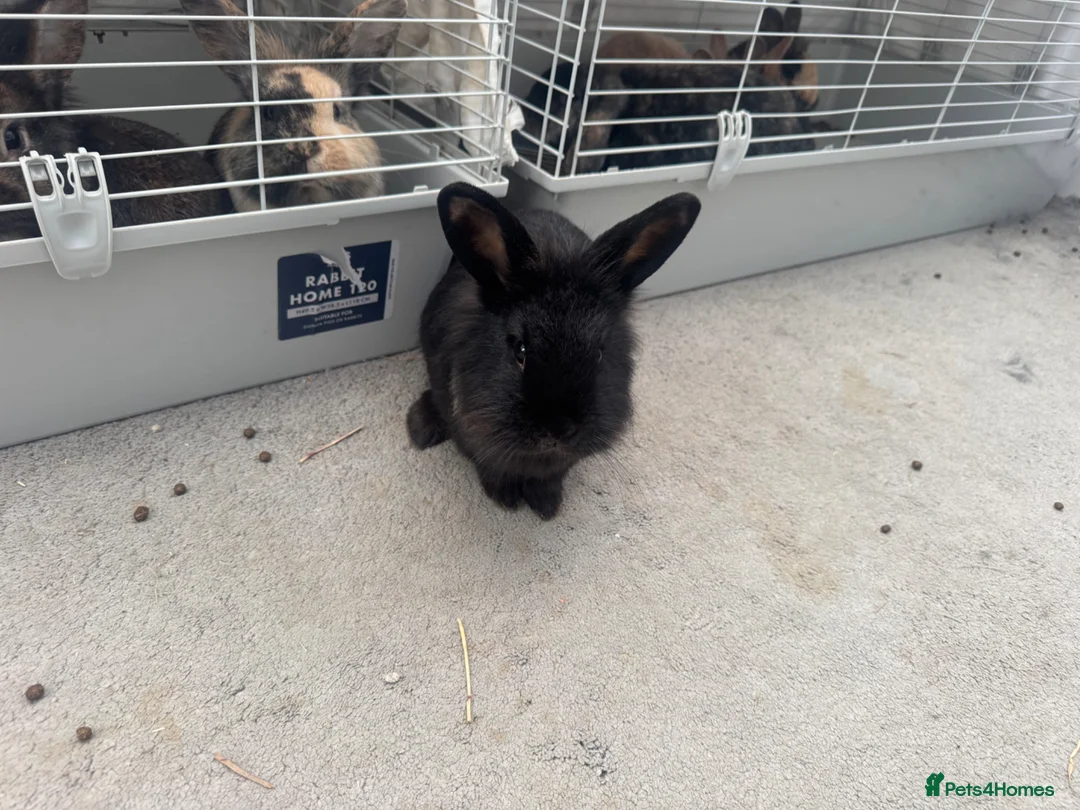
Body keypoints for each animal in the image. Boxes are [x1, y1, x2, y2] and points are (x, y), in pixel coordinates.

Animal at [407, 182, 701, 519]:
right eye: (520, 350)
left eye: (599, 354)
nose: (558, 430)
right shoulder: (474, 438)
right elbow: (490, 465)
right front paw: (505, 498)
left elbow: (552, 476)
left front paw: (547, 505)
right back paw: (420, 429)